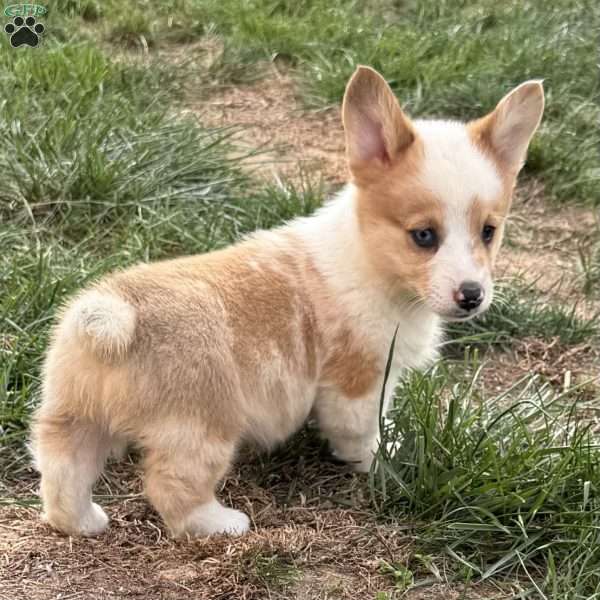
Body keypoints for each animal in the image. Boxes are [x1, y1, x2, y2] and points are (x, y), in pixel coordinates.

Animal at [29, 67, 544, 540]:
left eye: (489, 232)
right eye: (423, 236)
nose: (472, 296)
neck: (370, 257)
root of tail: (116, 314)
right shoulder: (357, 383)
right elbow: (363, 432)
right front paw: (385, 460)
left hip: (75, 418)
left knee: (62, 475)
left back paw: (85, 523)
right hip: (201, 429)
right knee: (171, 485)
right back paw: (222, 524)